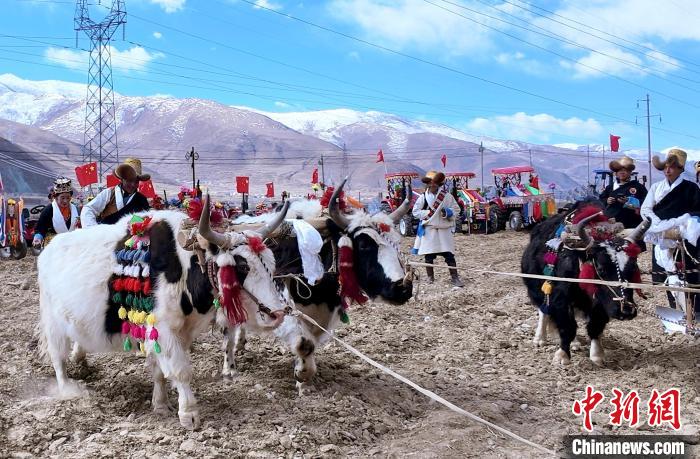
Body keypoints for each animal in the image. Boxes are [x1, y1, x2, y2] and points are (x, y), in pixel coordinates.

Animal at [37, 195, 291, 429]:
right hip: (53, 321)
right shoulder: (163, 328)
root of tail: (48, 249)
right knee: (57, 357)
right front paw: (189, 414)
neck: (186, 266)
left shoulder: (178, 330)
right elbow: (180, 370)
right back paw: (68, 390)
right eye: (242, 266)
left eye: (270, 262)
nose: (278, 314)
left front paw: (160, 405)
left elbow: (159, 370)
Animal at [221, 179, 414, 393]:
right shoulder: (282, 305)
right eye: (364, 245)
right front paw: (303, 375)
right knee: (228, 326)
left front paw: (304, 379)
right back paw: (229, 367)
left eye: (396, 242)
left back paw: (240, 344)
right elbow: (305, 343)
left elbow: (310, 342)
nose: (402, 288)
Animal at [521, 200, 649, 366]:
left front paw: (597, 355)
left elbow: (595, 326)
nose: (626, 311)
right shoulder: (561, 299)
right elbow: (567, 327)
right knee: (544, 310)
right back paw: (540, 339)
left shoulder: (600, 304)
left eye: (633, 267)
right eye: (600, 268)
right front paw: (562, 356)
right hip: (539, 287)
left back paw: (574, 343)